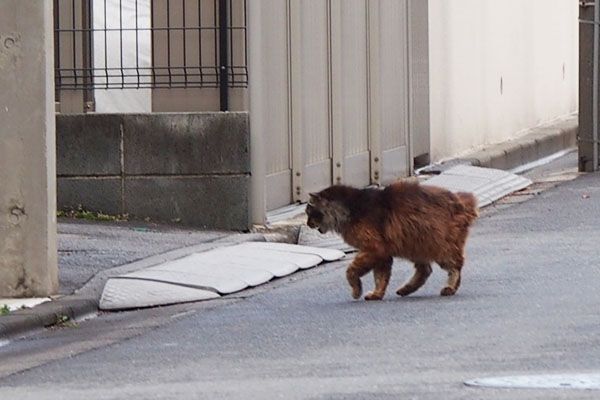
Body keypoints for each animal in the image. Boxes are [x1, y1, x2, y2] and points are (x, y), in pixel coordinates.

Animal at [304, 181, 478, 300]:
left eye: (309, 212)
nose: (307, 223)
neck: (351, 209)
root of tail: (462, 202)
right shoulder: (382, 253)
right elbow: (380, 278)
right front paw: (376, 294)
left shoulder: (373, 248)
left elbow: (351, 271)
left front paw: (356, 291)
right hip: (415, 245)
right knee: (425, 270)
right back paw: (405, 289)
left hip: (440, 248)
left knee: (455, 267)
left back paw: (449, 288)